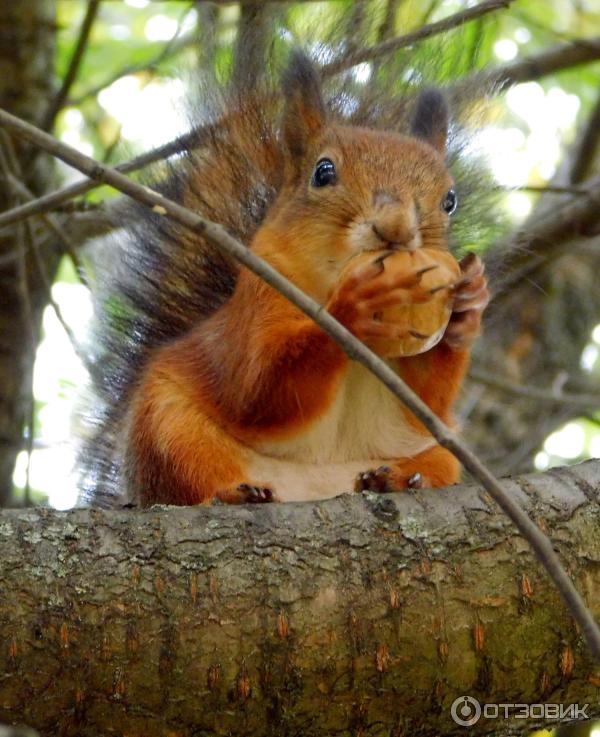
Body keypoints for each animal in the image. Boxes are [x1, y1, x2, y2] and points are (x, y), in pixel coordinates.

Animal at [78, 49, 488, 504]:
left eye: (449, 199)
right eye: (323, 172)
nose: (395, 227)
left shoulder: (420, 406)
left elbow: (427, 403)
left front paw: (470, 302)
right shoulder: (258, 301)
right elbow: (259, 388)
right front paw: (353, 306)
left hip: (440, 456)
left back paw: (400, 479)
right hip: (168, 428)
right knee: (188, 467)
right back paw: (232, 494)